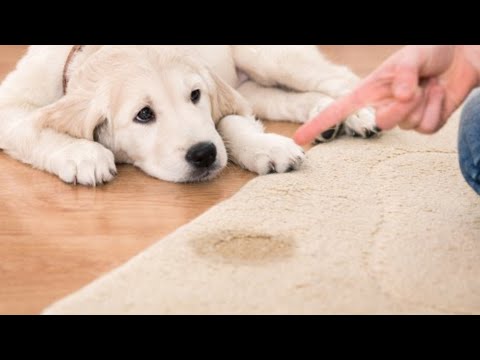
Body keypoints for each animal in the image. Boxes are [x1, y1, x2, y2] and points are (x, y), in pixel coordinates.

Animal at [0, 45, 378, 186]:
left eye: (195, 95)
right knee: (282, 98)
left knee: (338, 77)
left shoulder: (222, 94)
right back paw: (324, 116)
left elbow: (229, 122)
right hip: (254, 83)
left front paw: (267, 149)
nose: (203, 155)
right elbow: (32, 127)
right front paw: (83, 155)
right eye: (144, 114)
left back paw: (359, 114)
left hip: (268, 57)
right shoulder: (11, 103)